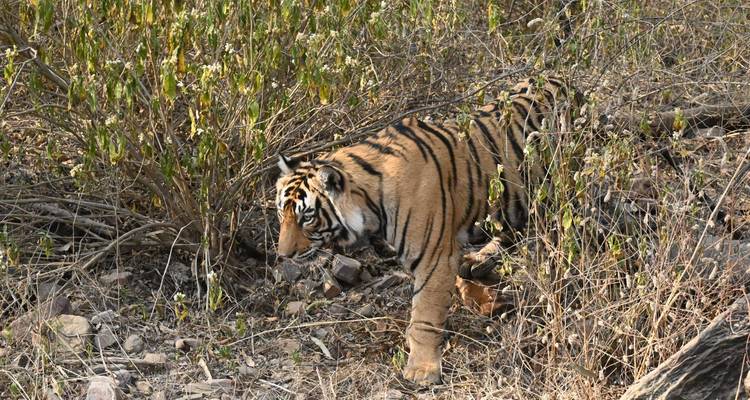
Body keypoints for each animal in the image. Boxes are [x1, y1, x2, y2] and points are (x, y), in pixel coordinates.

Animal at [275, 76, 582, 384]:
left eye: (307, 217)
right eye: (281, 212)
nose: (283, 255)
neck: (370, 201)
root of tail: (562, 79)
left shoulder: (435, 257)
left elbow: (425, 312)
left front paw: (422, 369)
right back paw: (478, 260)